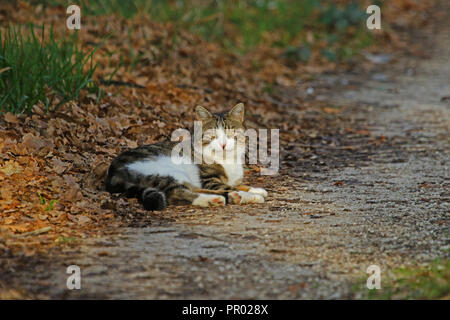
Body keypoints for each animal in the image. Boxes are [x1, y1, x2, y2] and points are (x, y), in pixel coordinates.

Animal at [105, 102, 268, 211]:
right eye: (212, 135)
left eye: (230, 133)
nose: (223, 144)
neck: (226, 160)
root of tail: (112, 173)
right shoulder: (209, 180)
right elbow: (228, 186)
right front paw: (252, 194)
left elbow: (239, 185)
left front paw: (254, 189)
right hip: (166, 171)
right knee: (177, 193)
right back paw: (218, 199)